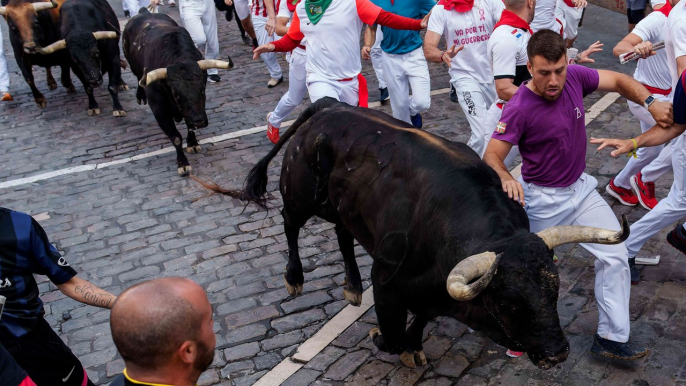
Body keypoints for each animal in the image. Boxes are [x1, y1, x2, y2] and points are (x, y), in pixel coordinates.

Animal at [126, 9, 236, 175]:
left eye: (202, 89)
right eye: (176, 93)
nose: (200, 121)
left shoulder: (193, 109)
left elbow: (189, 126)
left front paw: (192, 143)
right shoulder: (159, 110)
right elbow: (176, 137)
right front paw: (183, 163)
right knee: (139, 77)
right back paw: (140, 95)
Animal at [196, 98, 632, 370]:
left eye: (554, 288)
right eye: (508, 300)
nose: (558, 353)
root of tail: (330, 105)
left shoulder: (433, 292)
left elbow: (419, 322)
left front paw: (414, 348)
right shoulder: (387, 282)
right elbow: (389, 333)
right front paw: (385, 341)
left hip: (341, 204)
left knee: (341, 234)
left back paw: (351, 286)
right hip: (301, 193)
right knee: (289, 223)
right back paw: (294, 278)